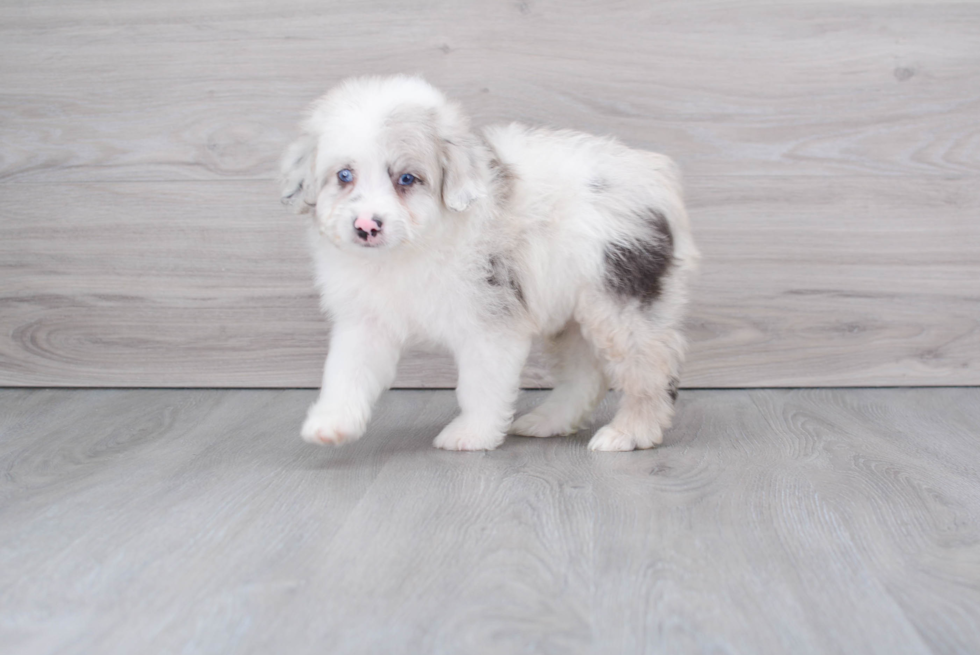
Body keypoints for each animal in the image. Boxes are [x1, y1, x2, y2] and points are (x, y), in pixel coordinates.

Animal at [280, 74, 700, 448]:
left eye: (407, 179)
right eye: (344, 175)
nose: (366, 226)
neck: (410, 249)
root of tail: (656, 177)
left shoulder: (490, 323)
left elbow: (480, 385)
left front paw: (471, 434)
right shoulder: (366, 319)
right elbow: (346, 371)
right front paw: (331, 424)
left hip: (621, 302)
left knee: (649, 370)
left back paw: (630, 433)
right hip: (573, 311)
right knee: (585, 375)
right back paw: (547, 421)